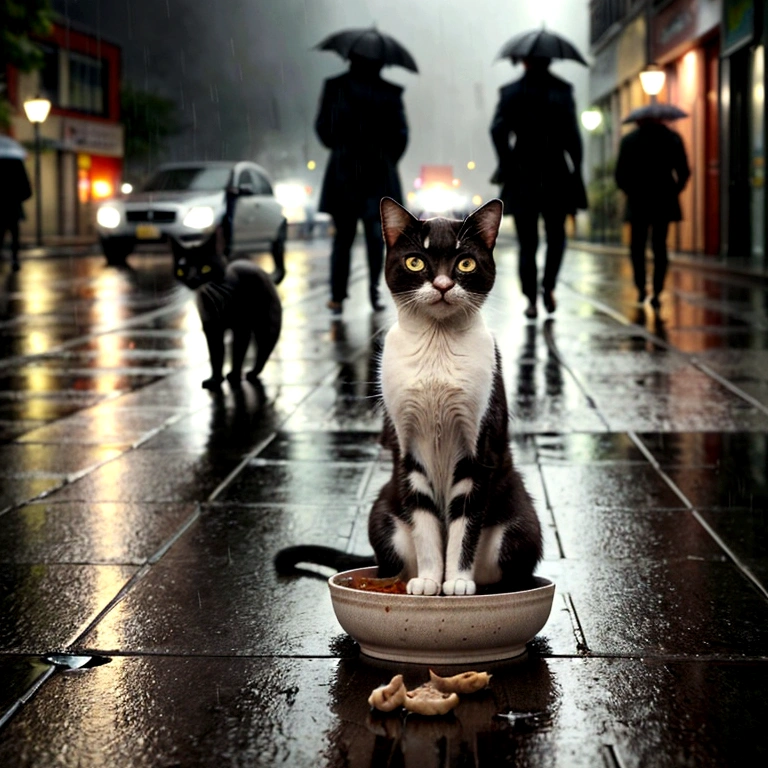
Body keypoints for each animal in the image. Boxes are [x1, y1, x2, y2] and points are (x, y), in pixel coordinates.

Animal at [174, 244, 282, 390]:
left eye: (204, 268)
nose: (193, 280)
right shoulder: (211, 328)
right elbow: (216, 355)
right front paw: (215, 379)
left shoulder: (242, 327)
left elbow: (238, 353)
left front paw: (234, 376)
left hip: (267, 327)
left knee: (263, 353)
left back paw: (253, 373)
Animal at [276, 198, 540, 592]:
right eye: (416, 261)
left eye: (465, 263)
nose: (443, 284)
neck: (437, 344)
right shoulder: (406, 446)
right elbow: (425, 520)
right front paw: (430, 581)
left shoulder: (479, 447)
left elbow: (465, 523)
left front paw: (455, 583)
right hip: (383, 509)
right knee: (393, 559)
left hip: (521, 520)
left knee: (513, 567)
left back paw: (488, 586)